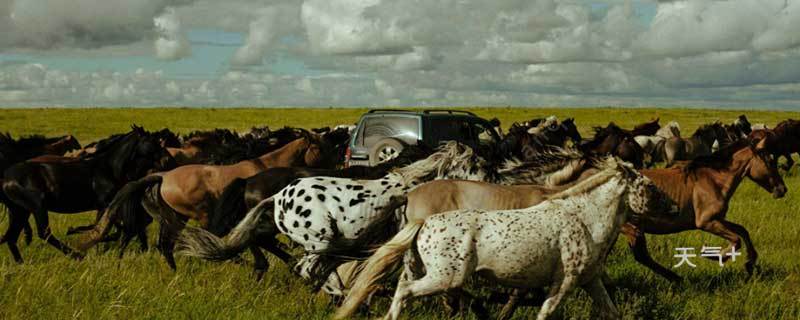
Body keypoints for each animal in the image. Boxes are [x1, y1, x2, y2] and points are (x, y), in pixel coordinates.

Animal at [340, 158, 672, 320]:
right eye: (649, 186)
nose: (673, 207)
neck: (583, 218)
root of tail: (422, 221)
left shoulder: (590, 280)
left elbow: (611, 312)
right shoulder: (564, 281)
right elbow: (543, 310)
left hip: (424, 269)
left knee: (401, 289)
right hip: (446, 277)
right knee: (406, 292)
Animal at [620, 136, 784, 282]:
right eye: (770, 161)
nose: (783, 189)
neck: (714, 180)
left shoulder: (718, 219)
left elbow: (742, 230)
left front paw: (750, 262)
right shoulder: (706, 222)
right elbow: (737, 239)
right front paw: (714, 255)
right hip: (632, 228)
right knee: (641, 256)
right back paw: (678, 279)